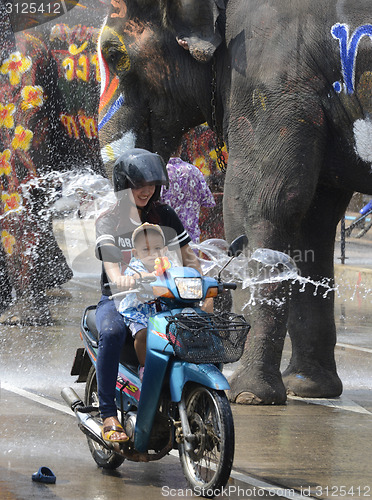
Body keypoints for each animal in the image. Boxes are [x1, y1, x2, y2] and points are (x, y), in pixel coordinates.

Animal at [97, 0, 372, 402]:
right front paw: (308, 389)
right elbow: (311, 222)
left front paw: (248, 395)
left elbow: (258, 207)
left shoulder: (270, 81)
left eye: (114, 54)